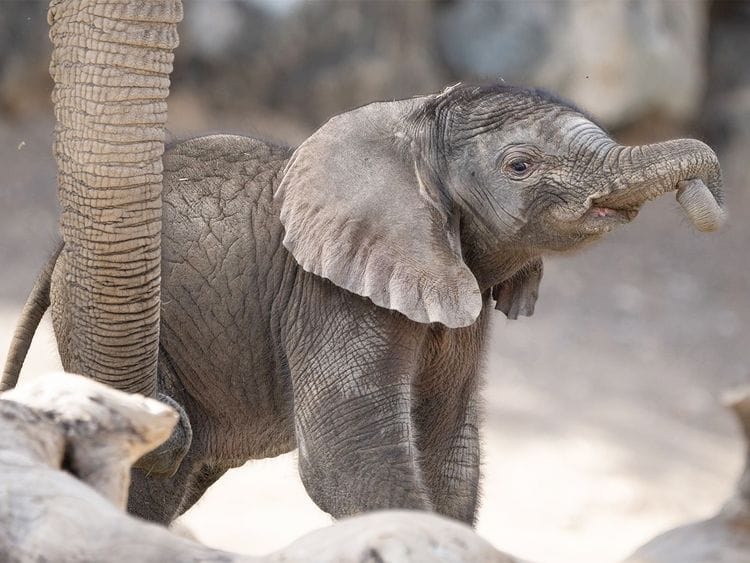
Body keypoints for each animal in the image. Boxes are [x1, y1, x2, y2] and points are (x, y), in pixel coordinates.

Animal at [2, 83, 726, 525]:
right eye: (519, 165)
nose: (705, 203)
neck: (413, 124)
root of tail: (62, 244)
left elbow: (447, 456)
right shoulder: (331, 295)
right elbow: (350, 461)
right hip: (103, 316)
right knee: (158, 472)